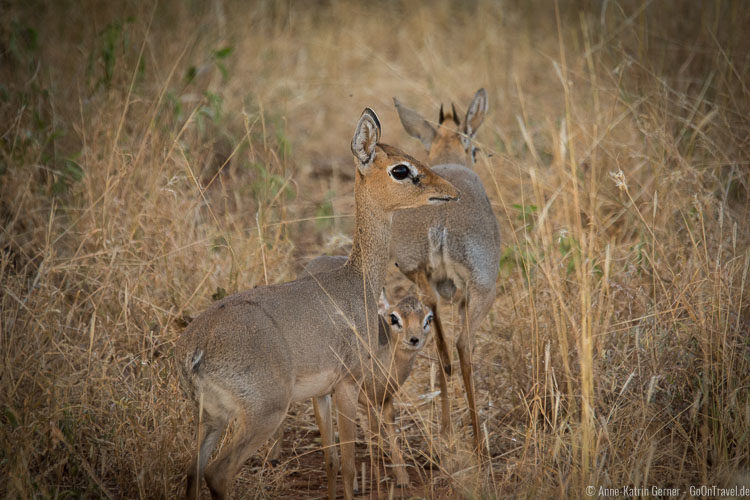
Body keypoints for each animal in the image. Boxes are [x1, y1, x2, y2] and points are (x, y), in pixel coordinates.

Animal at [178, 107, 458, 498]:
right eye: (401, 169)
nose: (450, 191)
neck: (355, 282)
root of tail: (197, 346)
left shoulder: (322, 394)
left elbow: (330, 460)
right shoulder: (347, 385)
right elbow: (349, 465)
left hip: (211, 419)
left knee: (192, 472)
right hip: (262, 415)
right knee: (217, 473)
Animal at [390, 89, 502, 454]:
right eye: (474, 148)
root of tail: (440, 222)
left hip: (420, 277)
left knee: (439, 347)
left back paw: (446, 431)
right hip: (483, 289)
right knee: (463, 344)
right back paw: (478, 441)